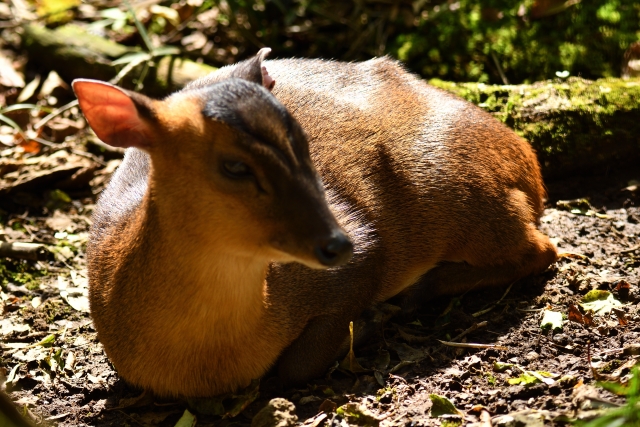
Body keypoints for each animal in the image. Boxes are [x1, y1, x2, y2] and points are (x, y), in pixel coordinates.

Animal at [74, 48, 556, 400]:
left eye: (302, 143)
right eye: (234, 166)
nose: (338, 243)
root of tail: (529, 163)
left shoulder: (360, 258)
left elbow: (295, 366)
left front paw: (369, 321)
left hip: (461, 195)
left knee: (543, 249)